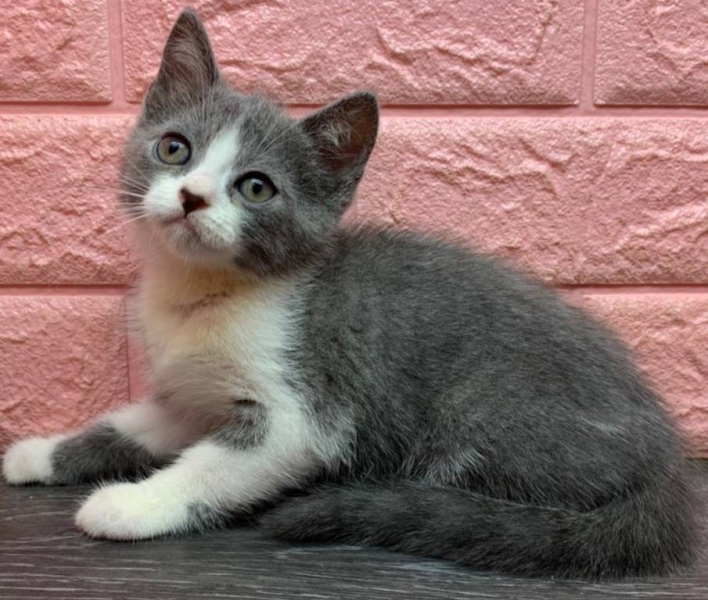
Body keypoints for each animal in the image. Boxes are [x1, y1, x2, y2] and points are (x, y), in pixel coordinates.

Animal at [2, 9, 697, 580]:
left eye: (256, 187)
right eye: (175, 148)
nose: (192, 197)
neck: (208, 293)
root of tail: (667, 464)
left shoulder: (303, 413)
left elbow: (213, 464)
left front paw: (131, 504)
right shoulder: (192, 398)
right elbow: (126, 426)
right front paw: (39, 453)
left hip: (486, 414)